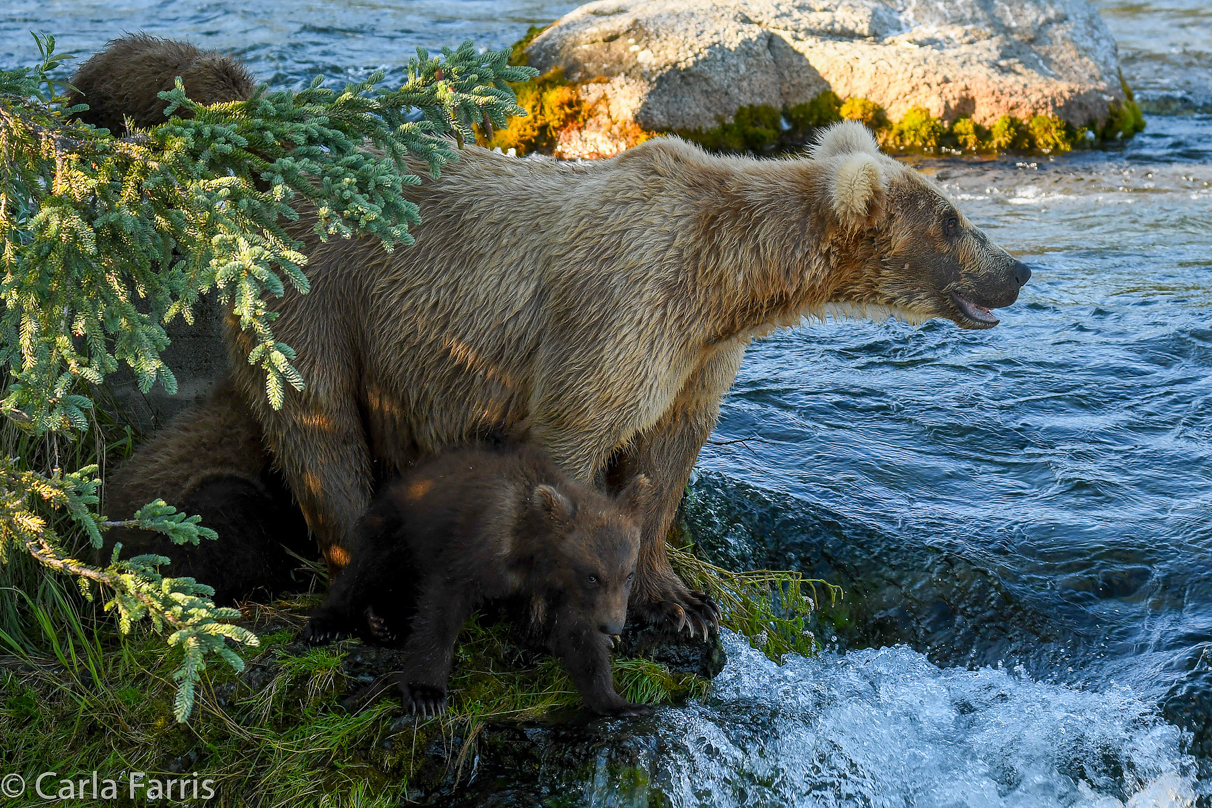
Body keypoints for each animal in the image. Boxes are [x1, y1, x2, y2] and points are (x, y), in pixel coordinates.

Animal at [80, 36, 1027, 629]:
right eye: (952, 219)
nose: (1018, 270)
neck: (728, 281)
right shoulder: (621, 308)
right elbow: (578, 436)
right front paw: (572, 606)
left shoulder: (699, 356)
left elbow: (664, 463)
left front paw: (680, 603)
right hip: (318, 298)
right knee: (317, 432)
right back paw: (374, 589)